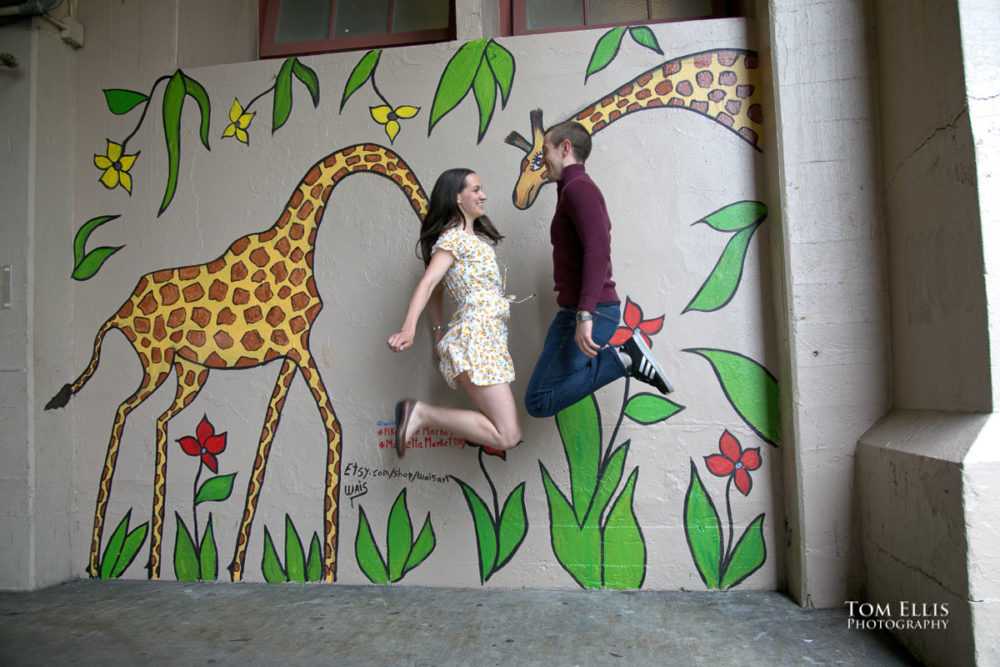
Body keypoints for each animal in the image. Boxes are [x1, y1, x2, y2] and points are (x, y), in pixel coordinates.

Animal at [45, 144, 428, 580]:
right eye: (403, 176)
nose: (426, 208)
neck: (298, 242)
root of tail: (119, 312)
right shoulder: (298, 347)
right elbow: (333, 426)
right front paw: (328, 572)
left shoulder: (290, 353)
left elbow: (269, 435)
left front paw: (238, 567)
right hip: (156, 360)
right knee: (123, 411)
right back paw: (100, 561)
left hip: (190, 372)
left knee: (158, 420)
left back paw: (152, 562)